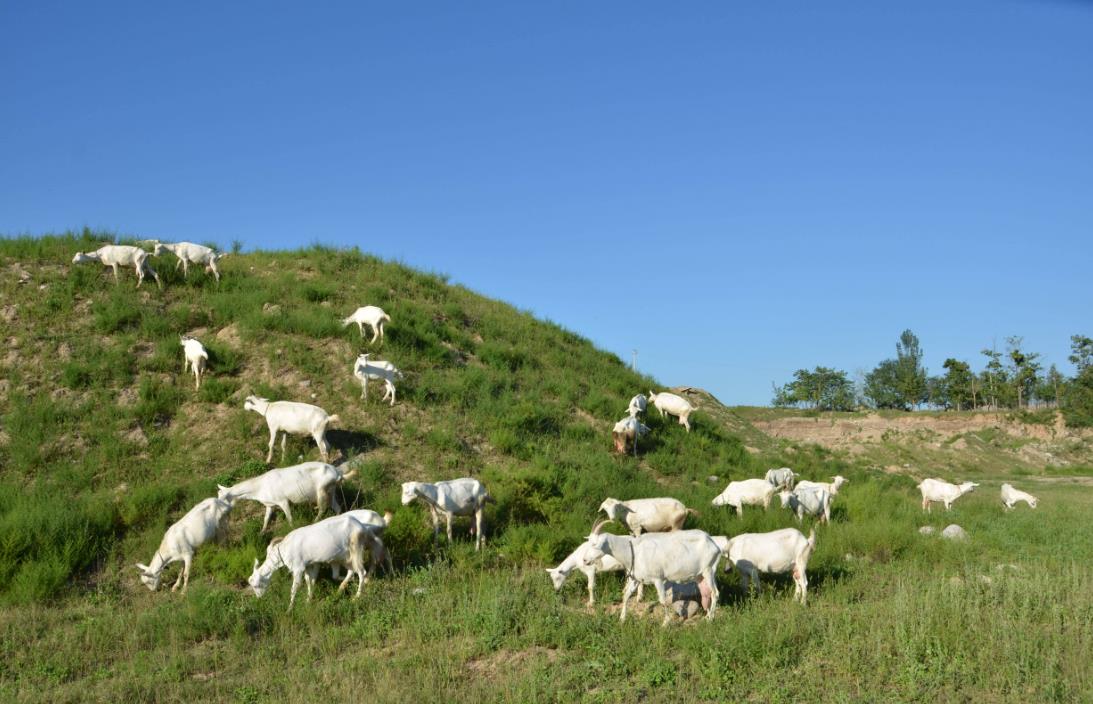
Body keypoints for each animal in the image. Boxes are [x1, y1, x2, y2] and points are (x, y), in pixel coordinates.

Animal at [217, 459, 358, 531]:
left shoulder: (283, 501)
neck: (260, 486)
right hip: (331, 490)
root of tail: (337, 473)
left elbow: (289, 517)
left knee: (323, 508)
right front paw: (262, 532)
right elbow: (266, 518)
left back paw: (314, 521)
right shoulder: (270, 505)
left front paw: (292, 528)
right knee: (337, 507)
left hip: (322, 490)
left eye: (222, 499)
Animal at [247, 513, 375, 607]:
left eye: (256, 585)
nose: (260, 598)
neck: (284, 550)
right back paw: (344, 586)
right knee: (350, 571)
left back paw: (357, 596)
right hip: (345, 556)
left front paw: (290, 608)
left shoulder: (298, 568)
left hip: (356, 548)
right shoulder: (309, 565)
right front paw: (308, 600)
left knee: (361, 571)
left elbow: (294, 588)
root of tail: (361, 526)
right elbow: (310, 581)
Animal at [581, 522, 725, 625]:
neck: (634, 551)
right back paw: (707, 615)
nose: (584, 560)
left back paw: (711, 619)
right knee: (706, 592)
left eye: (595, 544)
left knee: (715, 593)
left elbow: (662, 600)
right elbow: (626, 596)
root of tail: (713, 544)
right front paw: (622, 619)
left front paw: (665, 623)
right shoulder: (636, 579)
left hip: (709, 570)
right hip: (700, 575)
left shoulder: (658, 579)